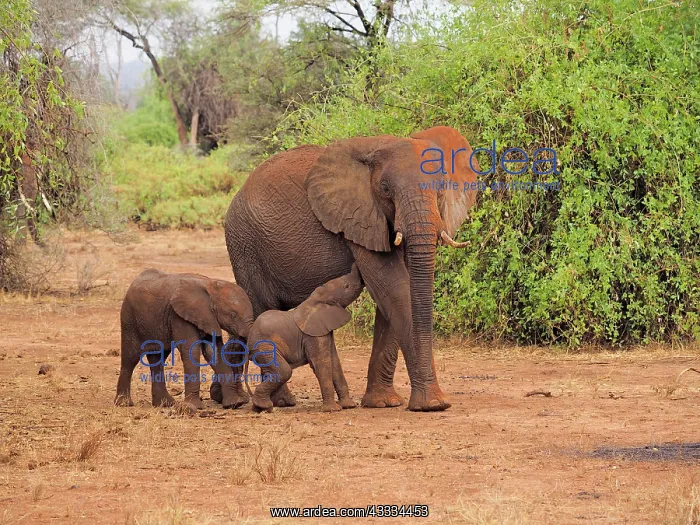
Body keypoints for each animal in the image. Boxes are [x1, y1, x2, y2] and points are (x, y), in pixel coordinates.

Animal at [115, 269, 255, 410]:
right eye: (233, 315)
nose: (249, 397)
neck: (211, 284)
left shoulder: (208, 318)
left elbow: (214, 352)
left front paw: (235, 403)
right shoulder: (179, 316)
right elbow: (192, 351)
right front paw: (194, 406)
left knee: (158, 358)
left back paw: (165, 404)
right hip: (129, 319)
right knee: (130, 358)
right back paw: (124, 403)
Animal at [248, 264, 363, 413]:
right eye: (346, 286)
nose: (356, 265)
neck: (315, 300)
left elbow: (335, 362)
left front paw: (349, 406)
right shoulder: (313, 335)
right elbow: (321, 363)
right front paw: (332, 409)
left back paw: (259, 407)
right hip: (264, 347)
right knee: (284, 371)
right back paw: (265, 406)